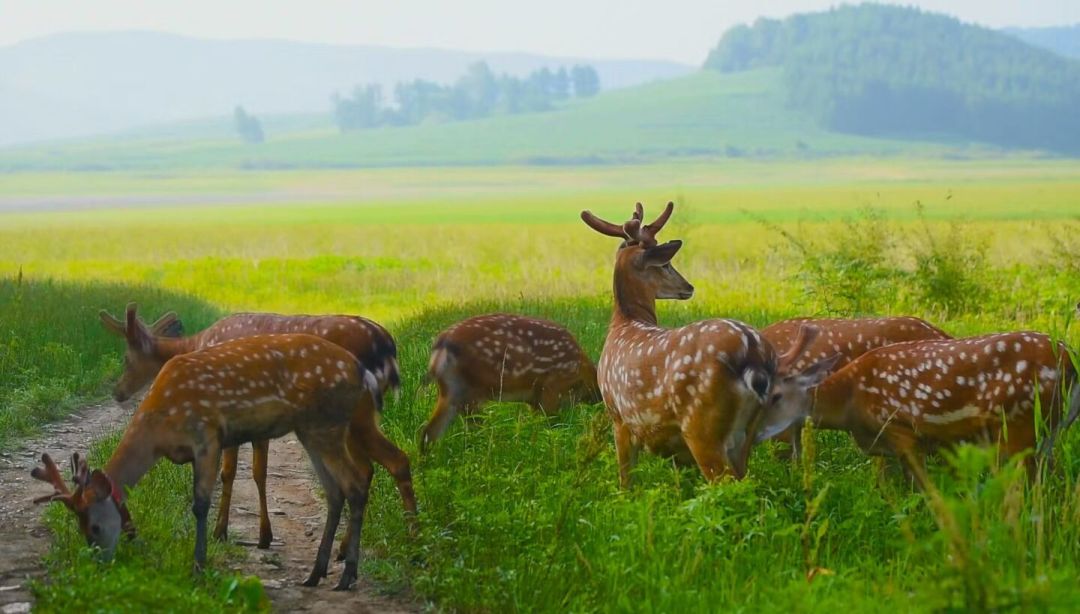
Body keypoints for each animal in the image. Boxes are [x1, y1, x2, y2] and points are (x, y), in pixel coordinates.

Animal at [32, 332, 407, 590]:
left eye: (94, 527)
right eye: (81, 529)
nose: (100, 565)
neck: (159, 426)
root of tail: (362, 371)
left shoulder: (207, 435)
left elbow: (200, 504)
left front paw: (198, 566)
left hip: (326, 422)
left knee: (354, 483)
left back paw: (347, 575)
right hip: (311, 429)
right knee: (335, 490)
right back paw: (315, 573)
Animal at [98, 304, 414, 555]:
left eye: (126, 359)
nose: (117, 392)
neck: (198, 343)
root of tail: (386, 344)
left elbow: (232, 473)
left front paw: (224, 531)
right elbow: (258, 472)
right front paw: (263, 535)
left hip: (354, 413)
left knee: (391, 461)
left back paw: (409, 541)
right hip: (356, 418)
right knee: (369, 468)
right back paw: (351, 547)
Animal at [420, 313, 600, 452]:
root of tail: (441, 345)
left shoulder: (534, 400)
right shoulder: (552, 387)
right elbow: (551, 426)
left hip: (451, 390)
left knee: (429, 432)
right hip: (475, 388)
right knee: (475, 429)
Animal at [581, 202, 817, 487]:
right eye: (666, 264)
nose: (689, 286)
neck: (626, 322)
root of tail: (753, 351)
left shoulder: (619, 416)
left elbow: (626, 481)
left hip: (702, 426)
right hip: (747, 431)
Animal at [757, 331, 1080, 488]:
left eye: (774, 396)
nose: (755, 433)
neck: (850, 402)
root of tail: (1069, 361)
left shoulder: (900, 428)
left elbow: (921, 488)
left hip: (1020, 425)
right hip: (1044, 434)